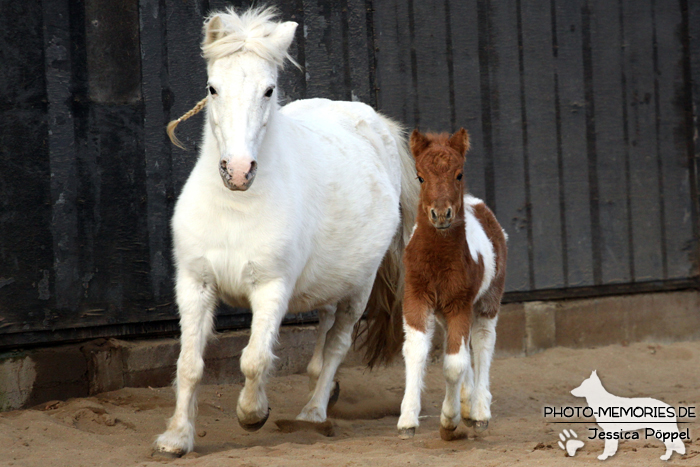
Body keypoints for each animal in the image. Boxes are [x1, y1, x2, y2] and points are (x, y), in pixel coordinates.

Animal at [156, 5, 418, 456]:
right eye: (212, 88)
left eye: (268, 90)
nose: (238, 171)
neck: (235, 209)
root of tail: (375, 123)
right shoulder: (195, 284)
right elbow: (189, 364)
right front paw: (176, 438)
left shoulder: (271, 287)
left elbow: (254, 359)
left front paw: (252, 415)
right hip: (331, 280)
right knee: (324, 329)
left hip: (360, 288)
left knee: (338, 344)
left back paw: (313, 413)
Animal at [396, 129, 506, 442]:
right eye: (420, 176)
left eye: (459, 174)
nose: (441, 214)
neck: (438, 260)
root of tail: (476, 203)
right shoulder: (416, 297)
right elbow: (416, 351)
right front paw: (408, 420)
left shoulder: (460, 303)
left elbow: (455, 364)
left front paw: (449, 419)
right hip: (445, 311)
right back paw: (468, 403)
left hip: (487, 299)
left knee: (482, 341)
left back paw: (479, 410)